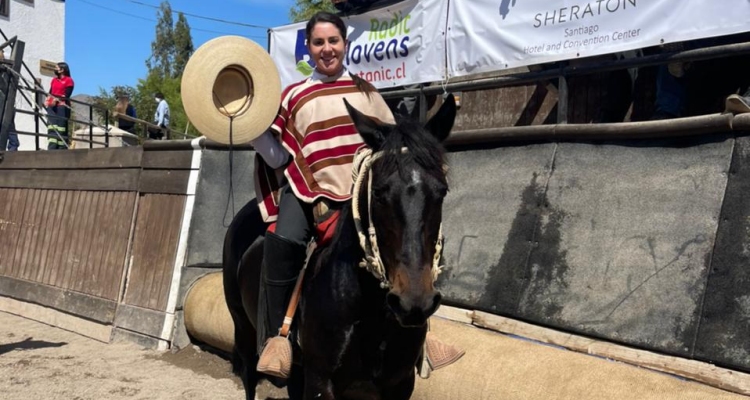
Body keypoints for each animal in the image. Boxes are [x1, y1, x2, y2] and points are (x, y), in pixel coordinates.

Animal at [223, 95, 458, 398]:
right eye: (378, 192)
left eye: (441, 191)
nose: (414, 302)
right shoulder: (321, 379)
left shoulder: (399, 382)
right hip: (243, 327)